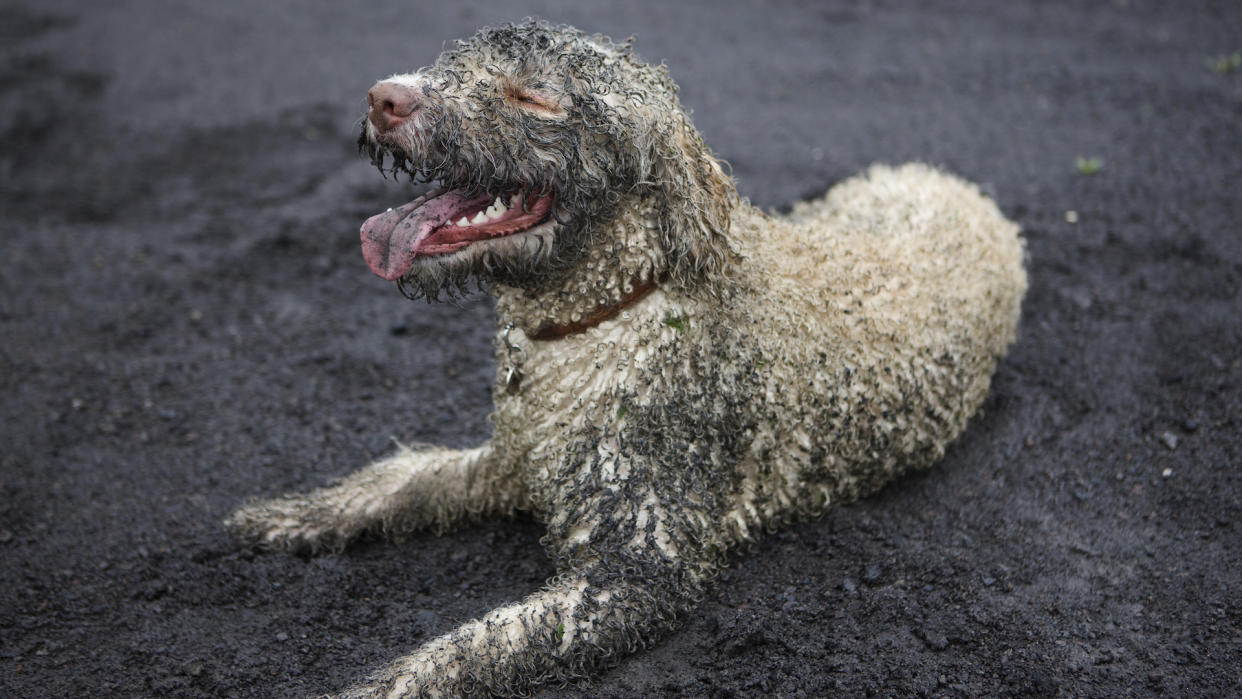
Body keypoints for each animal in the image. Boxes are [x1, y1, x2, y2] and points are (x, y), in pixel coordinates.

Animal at [226, 19, 1028, 695]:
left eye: (534, 96)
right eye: (454, 62)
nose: (385, 97)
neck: (604, 316)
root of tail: (948, 179)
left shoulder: (637, 570)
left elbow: (471, 646)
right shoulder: (513, 459)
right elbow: (401, 482)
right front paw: (294, 515)